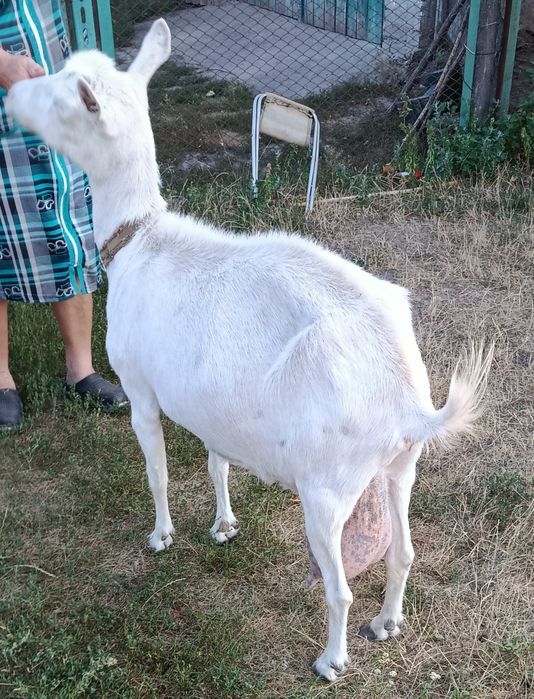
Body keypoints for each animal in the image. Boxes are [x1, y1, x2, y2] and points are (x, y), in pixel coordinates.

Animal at [6, 20, 492, 680]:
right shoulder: (216, 408)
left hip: (327, 488)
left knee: (339, 588)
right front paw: (224, 525)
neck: (139, 241)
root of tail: (409, 402)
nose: (12, 93)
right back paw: (387, 624)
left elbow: (157, 470)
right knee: (404, 550)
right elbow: (216, 462)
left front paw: (162, 536)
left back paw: (331, 660)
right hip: (400, 467)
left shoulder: (139, 387)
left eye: (62, 97)